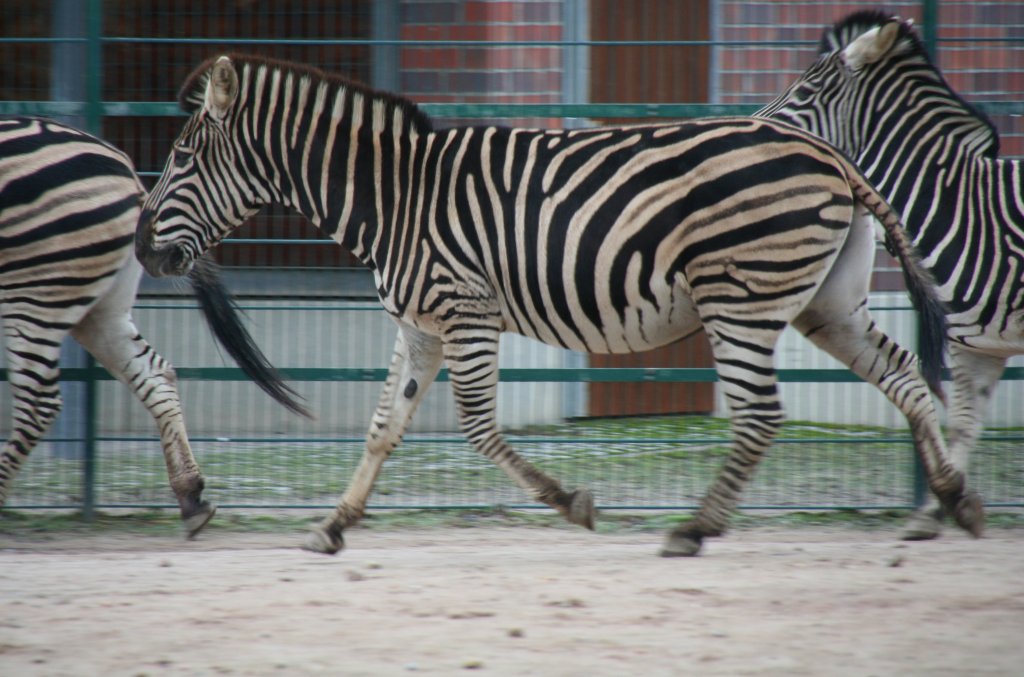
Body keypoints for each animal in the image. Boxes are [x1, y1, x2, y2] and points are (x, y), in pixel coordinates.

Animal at [0, 117, 303, 536]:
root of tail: (129, 172)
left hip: (40, 289)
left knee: (38, 404)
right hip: (98, 304)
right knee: (154, 373)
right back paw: (192, 497)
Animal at [136, 55, 983, 557]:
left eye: (180, 157)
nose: (144, 250)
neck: (395, 197)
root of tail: (828, 153)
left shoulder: (467, 312)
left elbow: (479, 428)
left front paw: (573, 502)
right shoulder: (419, 325)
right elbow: (384, 428)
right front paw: (334, 524)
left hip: (739, 299)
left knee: (761, 413)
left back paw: (695, 528)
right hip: (825, 305)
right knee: (904, 376)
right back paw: (954, 500)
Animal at [753, 9, 1024, 536]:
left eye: (804, 92)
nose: (754, 137)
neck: (969, 216)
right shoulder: (976, 348)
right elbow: (962, 426)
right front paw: (941, 509)